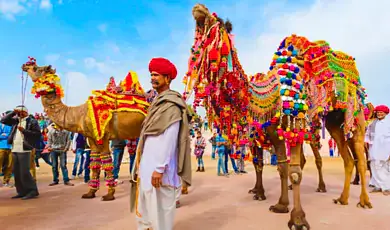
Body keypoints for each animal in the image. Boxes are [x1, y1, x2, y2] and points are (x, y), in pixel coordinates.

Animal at [21, 58, 149, 201]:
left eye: (37, 68)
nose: (25, 65)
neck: (78, 114)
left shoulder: (103, 138)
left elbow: (107, 163)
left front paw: (109, 194)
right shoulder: (92, 138)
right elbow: (94, 164)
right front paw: (90, 192)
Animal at [184, 3, 370, 228]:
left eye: (218, 22)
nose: (198, 9)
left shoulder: (294, 122)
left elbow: (294, 172)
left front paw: (297, 219)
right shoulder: (272, 133)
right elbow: (278, 167)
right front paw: (278, 203)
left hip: (351, 114)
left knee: (356, 158)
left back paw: (361, 200)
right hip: (333, 122)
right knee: (347, 158)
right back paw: (342, 198)